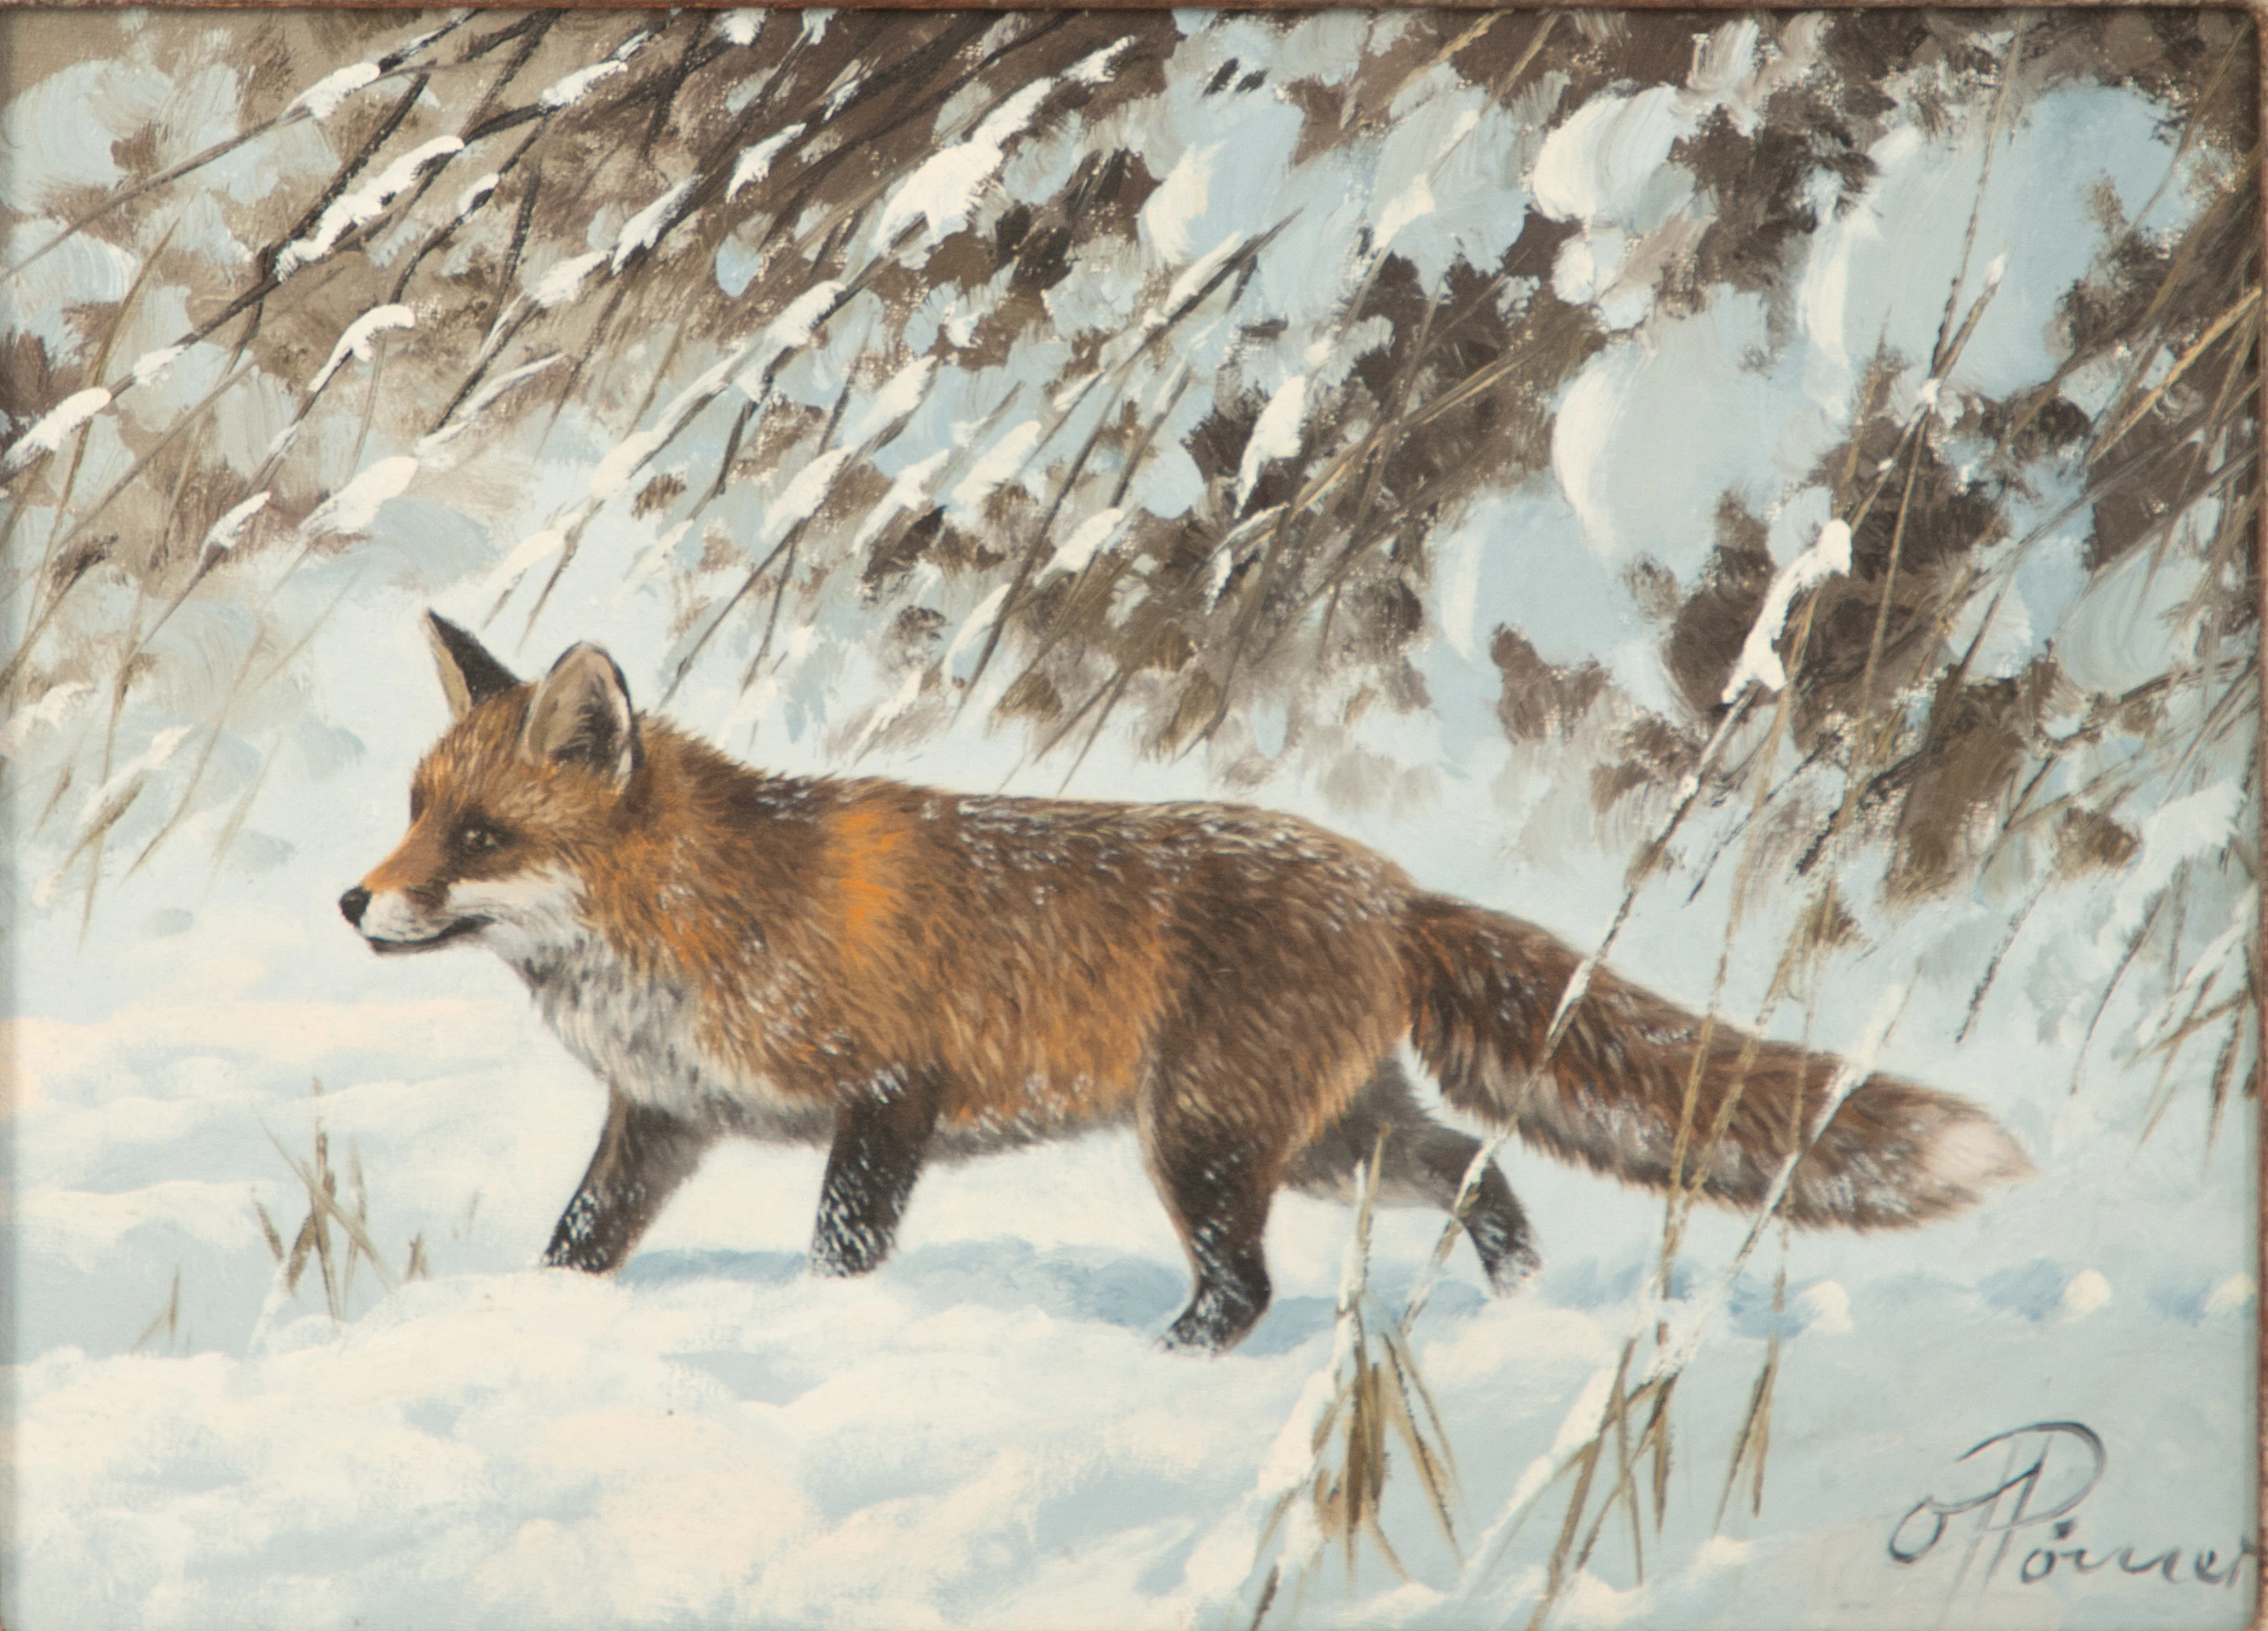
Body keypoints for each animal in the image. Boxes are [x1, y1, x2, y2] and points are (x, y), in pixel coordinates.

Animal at [340, 612, 2033, 1352]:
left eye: (478, 836)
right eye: (412, 807)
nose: (354, 902)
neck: (691, 916)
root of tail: (1390, 883)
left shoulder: (888, 1094)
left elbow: (840, 1247)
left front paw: (829, 1340)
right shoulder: (664, 1119)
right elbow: (579, 1242)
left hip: (1207, 1141)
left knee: (1252, 1281)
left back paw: (1178, 1363)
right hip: (1336, 1131)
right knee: (1480, 1163)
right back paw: (1514, 1305)